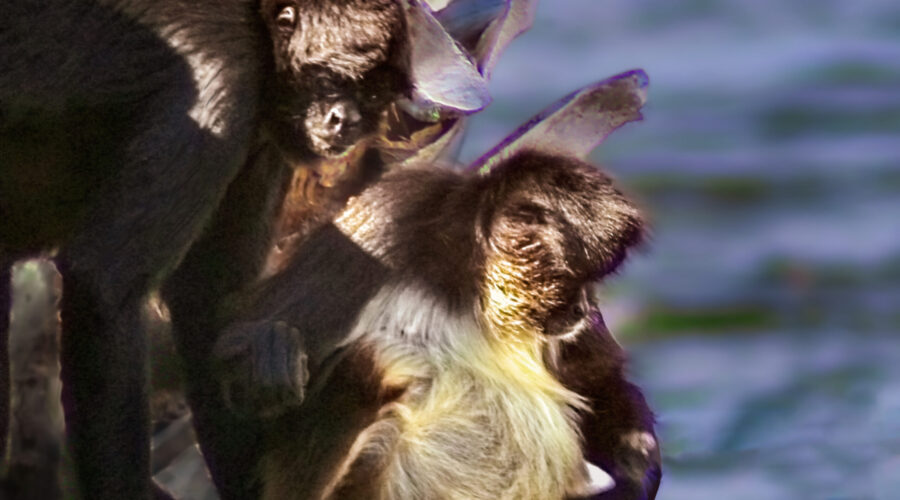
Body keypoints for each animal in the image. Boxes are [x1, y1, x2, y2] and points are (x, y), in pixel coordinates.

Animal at [1, 0, 486, 496]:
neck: (258, 30)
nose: (344, 120)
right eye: (337, 78)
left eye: (372, 95)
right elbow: (104, 288)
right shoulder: (223, 83)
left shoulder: (261, 129)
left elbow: (207, 303)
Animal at [211, 149, 660, 500]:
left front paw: (636, 462)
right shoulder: (396, 215)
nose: (586, 307)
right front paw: (265, 350)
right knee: (372, 361)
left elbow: (601, 378)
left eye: (593, 281)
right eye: (577, 279)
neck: (468, 287)